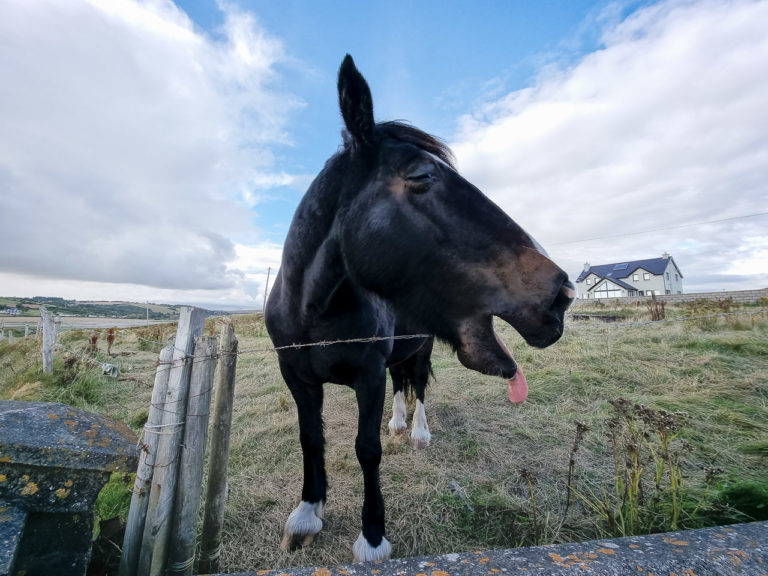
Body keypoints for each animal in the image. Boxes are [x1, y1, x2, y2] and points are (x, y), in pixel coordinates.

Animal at [265, 54, 575, 563]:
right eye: (422, 176)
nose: (561, 294)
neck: (317, 315)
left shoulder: (368, 375)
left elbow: (366, 448)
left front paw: (372, 537)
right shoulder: (298, 377)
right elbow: (311, 439)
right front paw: (308, 514)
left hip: (422, 347)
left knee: (421, 389)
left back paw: (417, 433)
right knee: (401, 384)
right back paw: (398, 422)